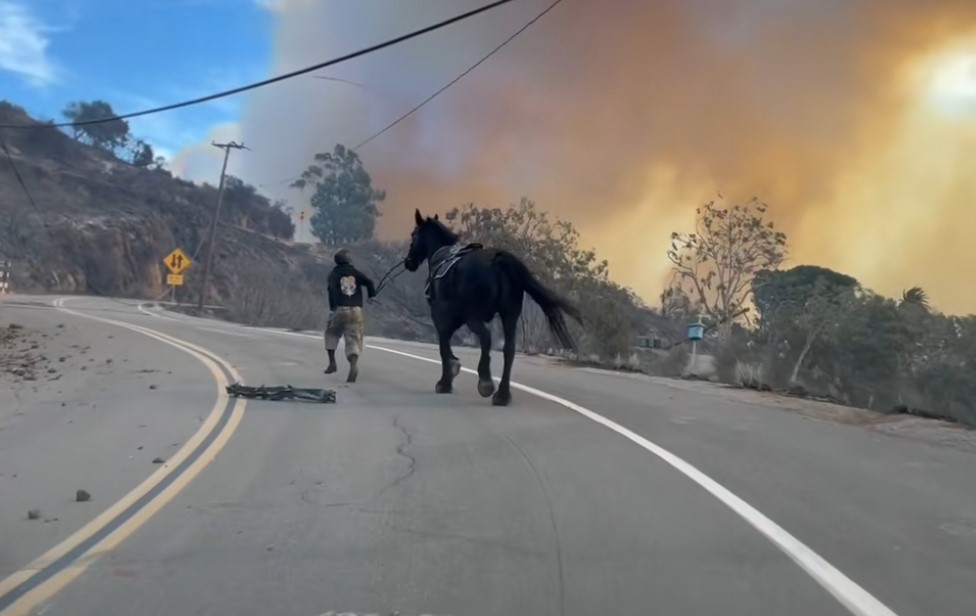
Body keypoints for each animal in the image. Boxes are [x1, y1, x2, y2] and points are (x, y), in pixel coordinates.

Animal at [402, 209, 580, 406]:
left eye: (414, 235)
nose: (408, 262)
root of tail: (498, 260)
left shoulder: (441, 316)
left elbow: (443, 345)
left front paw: (446, 381)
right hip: (509, 315)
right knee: (509, 349)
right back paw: (502, 394)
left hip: (474, 317)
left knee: (486, 338)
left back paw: (486, 382)